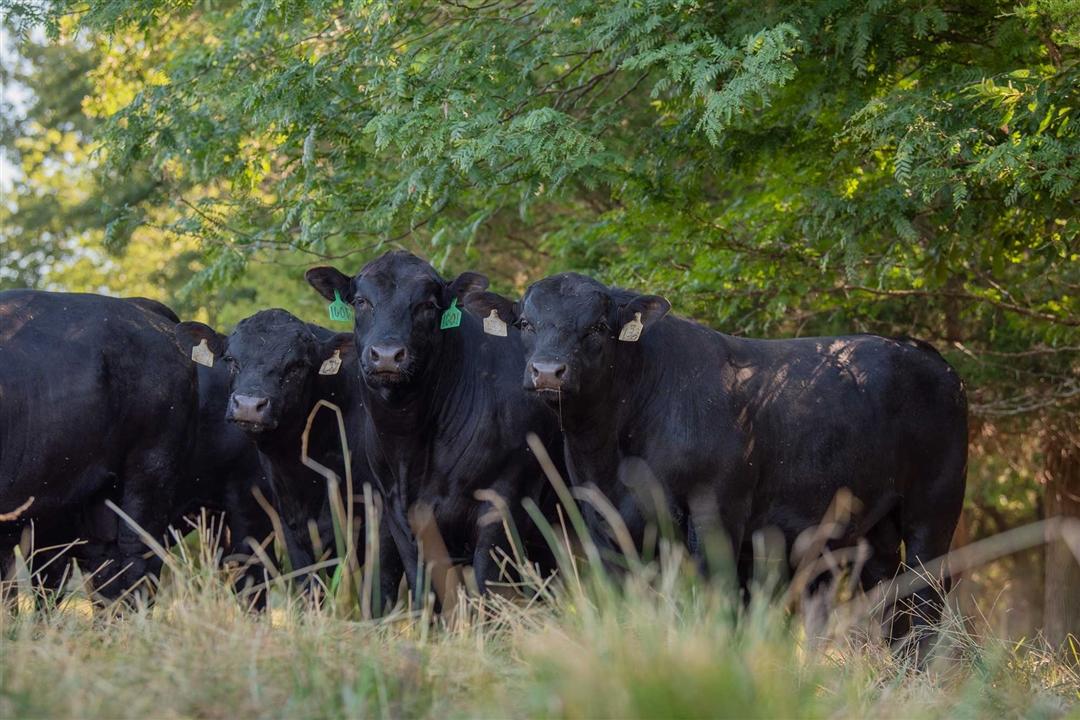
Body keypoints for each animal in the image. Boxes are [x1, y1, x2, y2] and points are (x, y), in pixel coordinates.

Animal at [304, 253, 557, 604]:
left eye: (427, 305)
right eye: (361, 301)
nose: (387, 355)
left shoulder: (503, 506)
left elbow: (488, 592)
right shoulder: (401, 519)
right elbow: (423, 591)